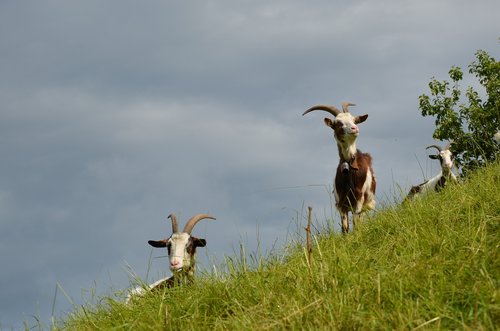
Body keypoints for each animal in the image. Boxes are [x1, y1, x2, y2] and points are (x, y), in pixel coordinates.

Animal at [300, 102, 376, 233]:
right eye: (338, 123)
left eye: (354, 120)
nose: (355, 129)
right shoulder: (341, 202)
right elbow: (345, 227)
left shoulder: (358, 199)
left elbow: (356, 223)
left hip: (367, 203)